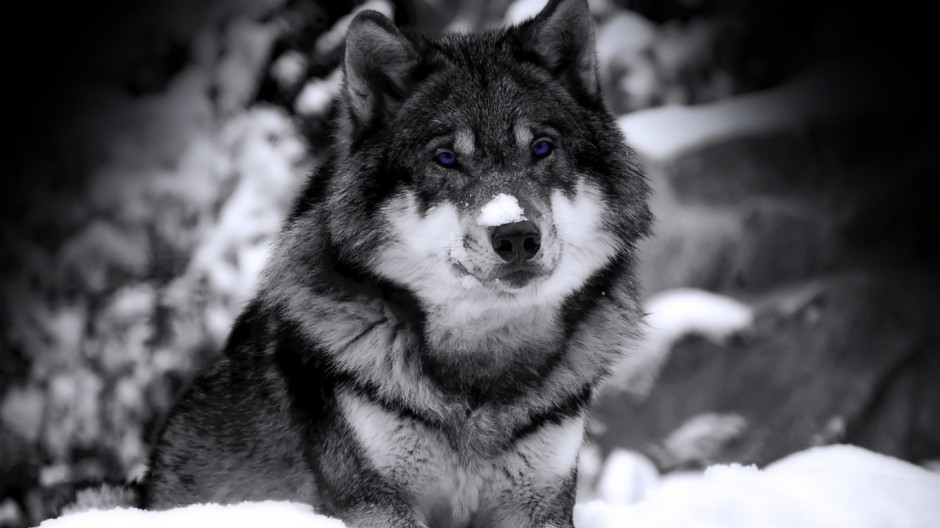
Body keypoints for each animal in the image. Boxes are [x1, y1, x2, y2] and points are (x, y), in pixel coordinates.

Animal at [140, 0, 648, 524]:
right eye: (446, 158)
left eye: (542, 148)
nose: (516, 235)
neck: (481, 368)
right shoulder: (376, 500)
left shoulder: (541, 501)